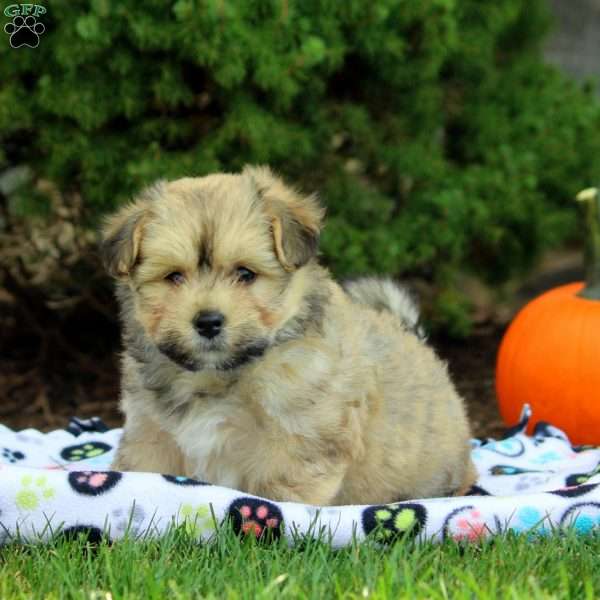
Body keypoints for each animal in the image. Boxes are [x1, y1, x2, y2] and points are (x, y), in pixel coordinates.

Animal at [103, 166, 478, 504]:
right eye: (174, 277)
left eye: (245, 274)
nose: (208, 321)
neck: (221, 376)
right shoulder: (152, 433)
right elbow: (145, 472)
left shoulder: (302, 439)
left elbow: (283, 495)